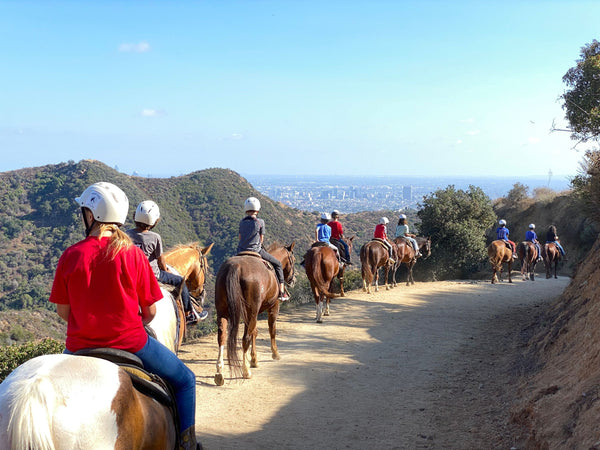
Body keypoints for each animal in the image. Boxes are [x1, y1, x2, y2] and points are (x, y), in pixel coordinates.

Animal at [213, 241, 296, 384]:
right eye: (294, 260)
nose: (293, 279)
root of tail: (236, 266)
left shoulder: (255, 312)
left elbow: (255, 332)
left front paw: (254, 359)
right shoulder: (273, 306)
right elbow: (271, 329)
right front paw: (275, 354)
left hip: (223, 311)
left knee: (222, 337)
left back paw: (219, 372)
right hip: (251, 310)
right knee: (245, 338)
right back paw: (246, 371)